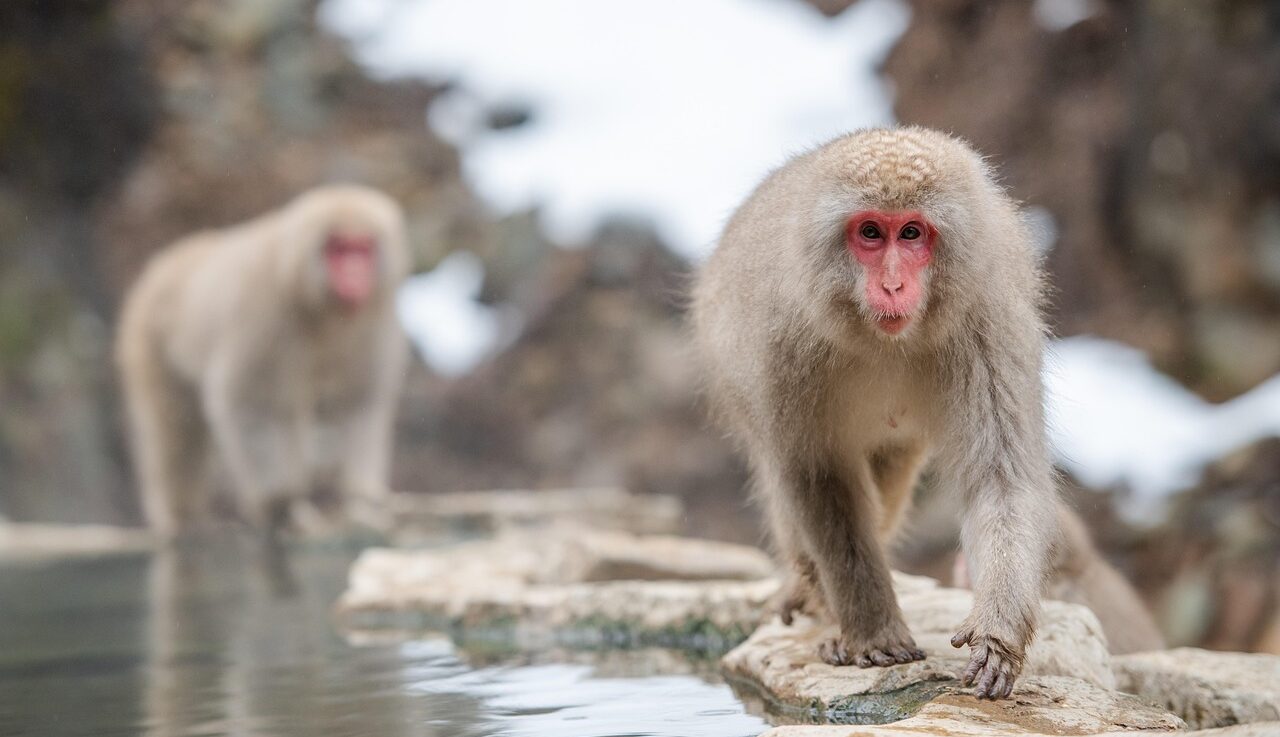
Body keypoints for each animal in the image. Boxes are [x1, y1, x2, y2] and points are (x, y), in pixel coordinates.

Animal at [116, 184, 410, 538]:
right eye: (338, 249)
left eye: (362, 248)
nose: (355, 274)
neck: (319, 308)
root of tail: (167, 261)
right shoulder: (263, 313)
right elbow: (252, 403)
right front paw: (278, 503)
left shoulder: (373, 321)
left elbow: (359, 401)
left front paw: (361, 502)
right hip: (148, 339)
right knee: (177, 428)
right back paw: (183, 517)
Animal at [691, 127, 1058, 700]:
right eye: (869, 232)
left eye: (910, 233)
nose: (892, 286)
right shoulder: (781, 345)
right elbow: (817, 477)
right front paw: (871, 633)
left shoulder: (988, 323)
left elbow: (1002, 476)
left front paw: (996, 637)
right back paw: (815, 596)